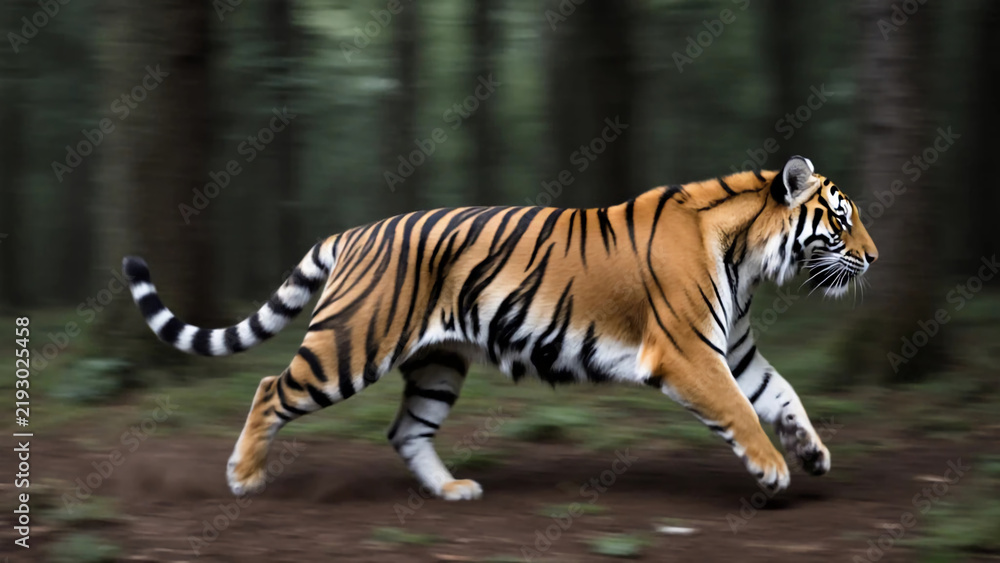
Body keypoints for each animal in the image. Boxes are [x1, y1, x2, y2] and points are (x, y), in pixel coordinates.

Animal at [123, 155, 877, 500]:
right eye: (841, 220)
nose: (874, 257)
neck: (748, 260)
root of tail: (352, 232)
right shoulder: (691, 353)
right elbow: (742, 413)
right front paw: (774, 468)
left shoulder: (736, 350)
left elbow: (783, 396)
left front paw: (812, 454)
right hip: (350, 346)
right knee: (269, 387)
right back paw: (244, 475)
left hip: (438, 362)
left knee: (405, 429)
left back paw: (452, 489)